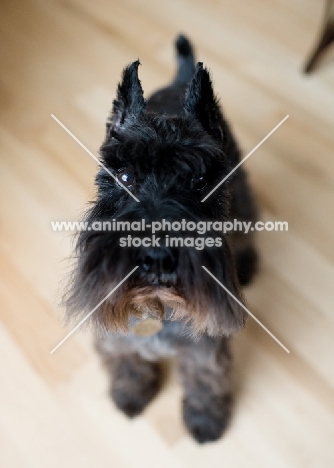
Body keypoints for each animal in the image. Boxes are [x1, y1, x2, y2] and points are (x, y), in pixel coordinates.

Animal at [65, 35, 258, 442]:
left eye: (199, 181)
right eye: (124, 177)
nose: (155, 256)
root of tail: (178, 80)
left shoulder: (205, 347)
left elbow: (205, 379)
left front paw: (205, 418)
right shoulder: (115, 337)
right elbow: (125, 362)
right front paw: (129, 392)